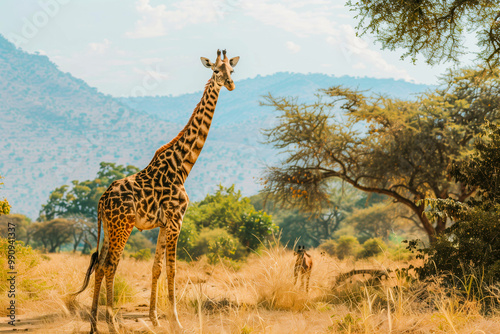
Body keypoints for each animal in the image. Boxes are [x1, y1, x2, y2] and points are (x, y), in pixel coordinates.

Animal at [71, 48, 241, 332]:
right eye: (216, 70)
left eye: (233, 70)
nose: (230, 85)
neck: (183, 165)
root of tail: (101, 200)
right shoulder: (176, 220)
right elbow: (172, 269)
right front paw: (176, 321)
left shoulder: (163, 224)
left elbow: (156, 268)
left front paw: (155, 318)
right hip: (123, 226)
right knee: (110, 266)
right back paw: (112, 324)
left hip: (109, 228)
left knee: (99, 265)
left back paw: (95, 324)